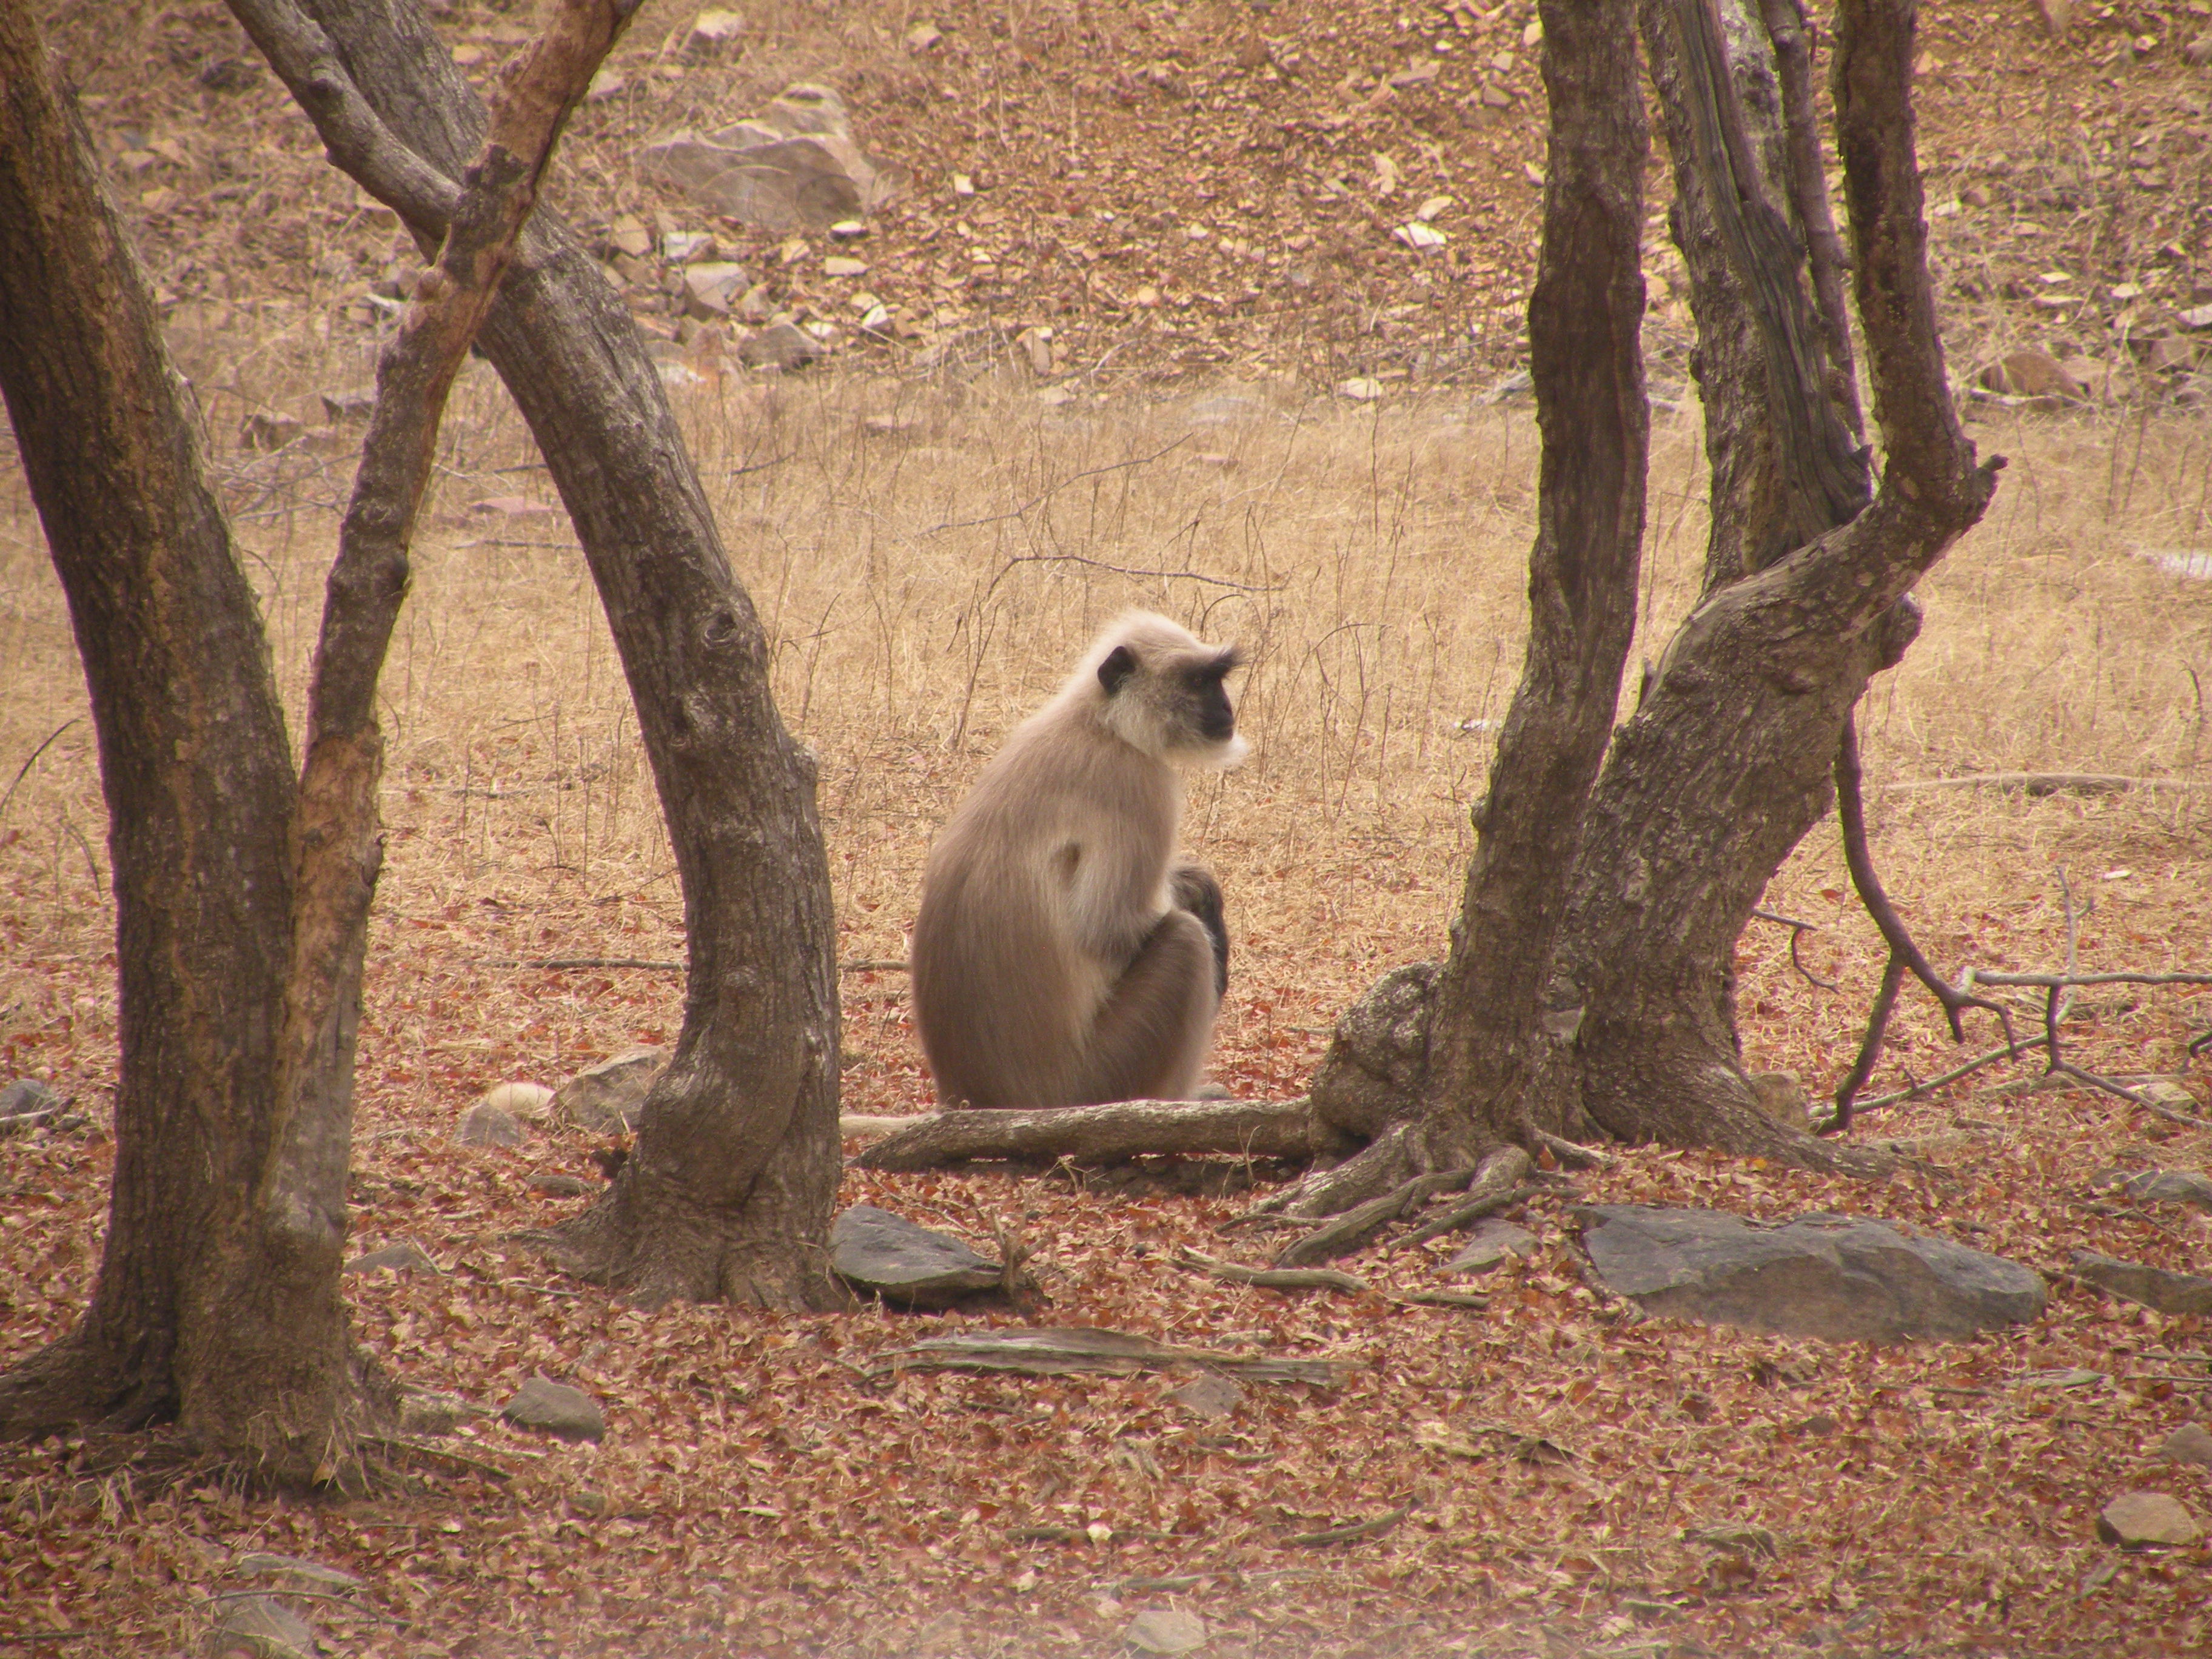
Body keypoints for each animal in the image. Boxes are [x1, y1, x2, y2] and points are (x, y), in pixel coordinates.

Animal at [910, 611, 1247, 1110]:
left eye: (1217, 682)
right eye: (1199, 682)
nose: (1227, 709)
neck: (1099, 723)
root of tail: (976, 1096)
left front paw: (1195, 882)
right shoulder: (1138, 783)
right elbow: (1109, 928)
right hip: (1099, 1079)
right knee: (1186, 942)